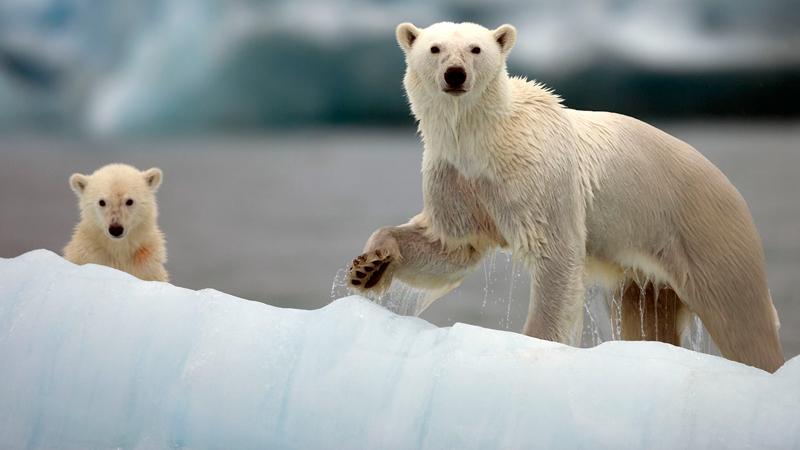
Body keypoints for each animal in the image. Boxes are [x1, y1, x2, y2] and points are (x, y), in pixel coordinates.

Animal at [348, 22, 780, 372]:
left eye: (476, 48)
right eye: (435, 48)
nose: (455, 74)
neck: (483, 140)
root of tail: (728, 186)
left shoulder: (537, 176)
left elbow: (554, 255)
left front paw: (533, 343)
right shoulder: (456, 178)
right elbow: (452, 246)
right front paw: (369, 266)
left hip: (706, 232)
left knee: (741, 317)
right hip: (646, 271)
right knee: (647, 316)